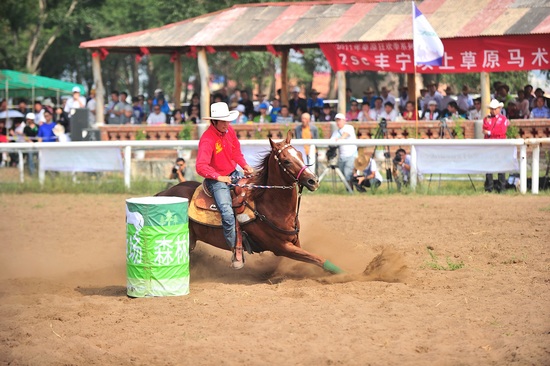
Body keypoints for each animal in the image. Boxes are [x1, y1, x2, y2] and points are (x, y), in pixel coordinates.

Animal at [156, 132, 344, 272]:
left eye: (299, 154)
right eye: (286, 161)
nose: (313, 180)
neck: (270, 206)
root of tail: (163, 193)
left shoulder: (294, 242)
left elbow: (312, 257)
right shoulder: (281, 247)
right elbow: (318, 259)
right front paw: (343, 272)